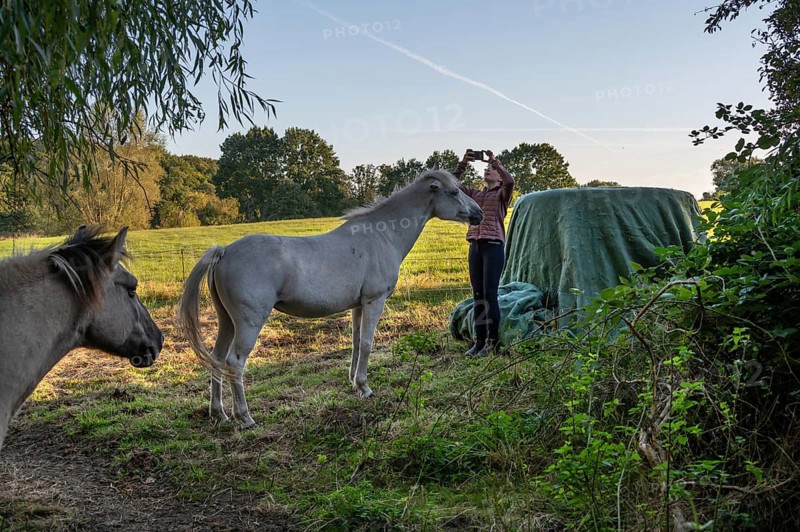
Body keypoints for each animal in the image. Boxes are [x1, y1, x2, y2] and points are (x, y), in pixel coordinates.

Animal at [179, 168, 483, 428]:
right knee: (234, 363)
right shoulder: (374, 301)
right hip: (248, 323)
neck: (381, 234)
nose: (478, 214)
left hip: (226, 321)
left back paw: (218, 413)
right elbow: (368, 344)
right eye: (454, 191)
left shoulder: (358, 306)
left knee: (217, 359)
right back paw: (244, 417)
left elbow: (357, 343)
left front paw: (356, 384)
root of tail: (224, 251)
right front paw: (366, 387)